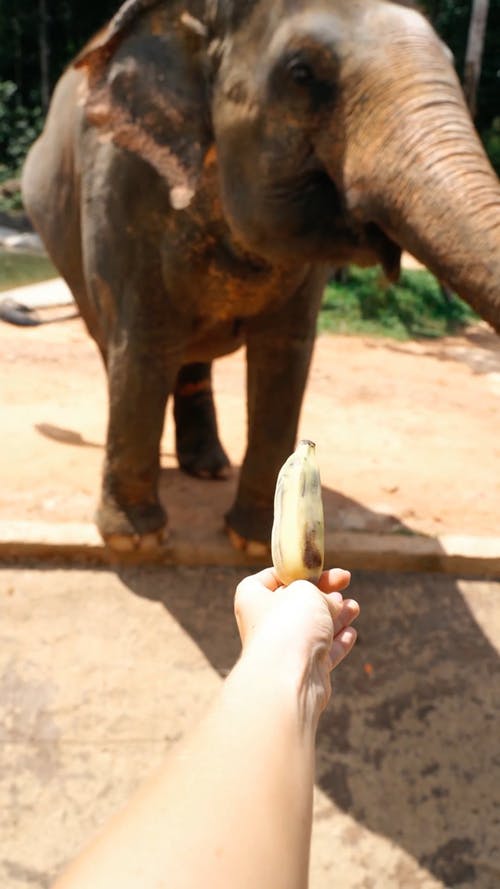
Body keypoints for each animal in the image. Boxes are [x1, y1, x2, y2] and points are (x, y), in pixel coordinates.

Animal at [22, 0, 500, 552]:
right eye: (302, 74)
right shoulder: (123, 187)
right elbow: (143, 342)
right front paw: (137, 542)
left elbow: (284, 353)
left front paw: (248, 541)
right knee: (121, 347)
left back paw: (208, 467)